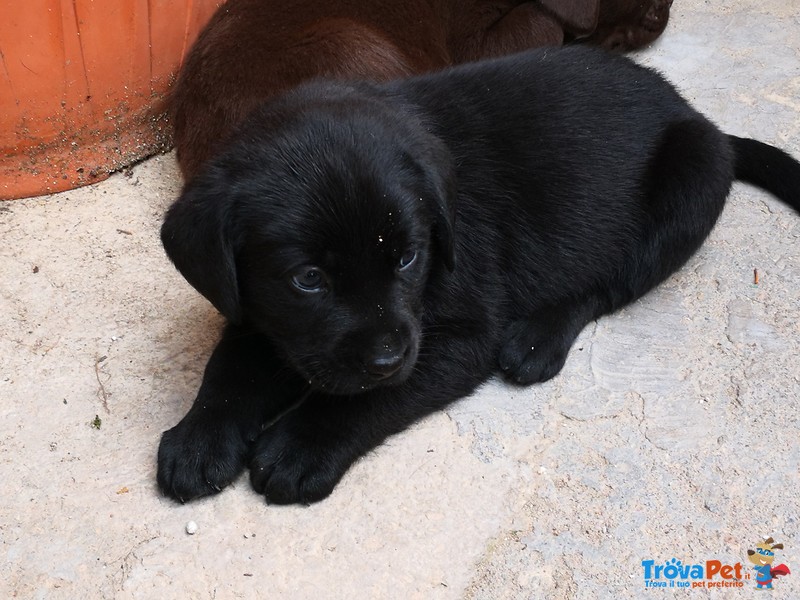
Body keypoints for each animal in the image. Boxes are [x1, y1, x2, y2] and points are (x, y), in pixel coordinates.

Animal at [158, 48, 800, 506]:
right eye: (308, 279)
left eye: (408, 259)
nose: (386, 358)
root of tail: (691, 112)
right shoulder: (257, 314)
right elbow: (229, 370)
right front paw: (198, 437)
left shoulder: (462, 334)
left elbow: (370, 399)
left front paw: (301, 443)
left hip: (690, 183)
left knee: (610, 282)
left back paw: (538, 339)